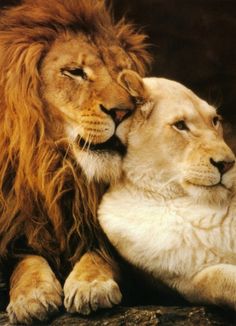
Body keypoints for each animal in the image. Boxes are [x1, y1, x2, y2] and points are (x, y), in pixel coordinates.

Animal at [0, 0, 150, 324]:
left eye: (125, 75)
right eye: (75, 72)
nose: (123, 112)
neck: (59, 169)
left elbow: (100, 251)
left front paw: (91, 285)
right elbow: (25, 260)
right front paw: (31, 297)